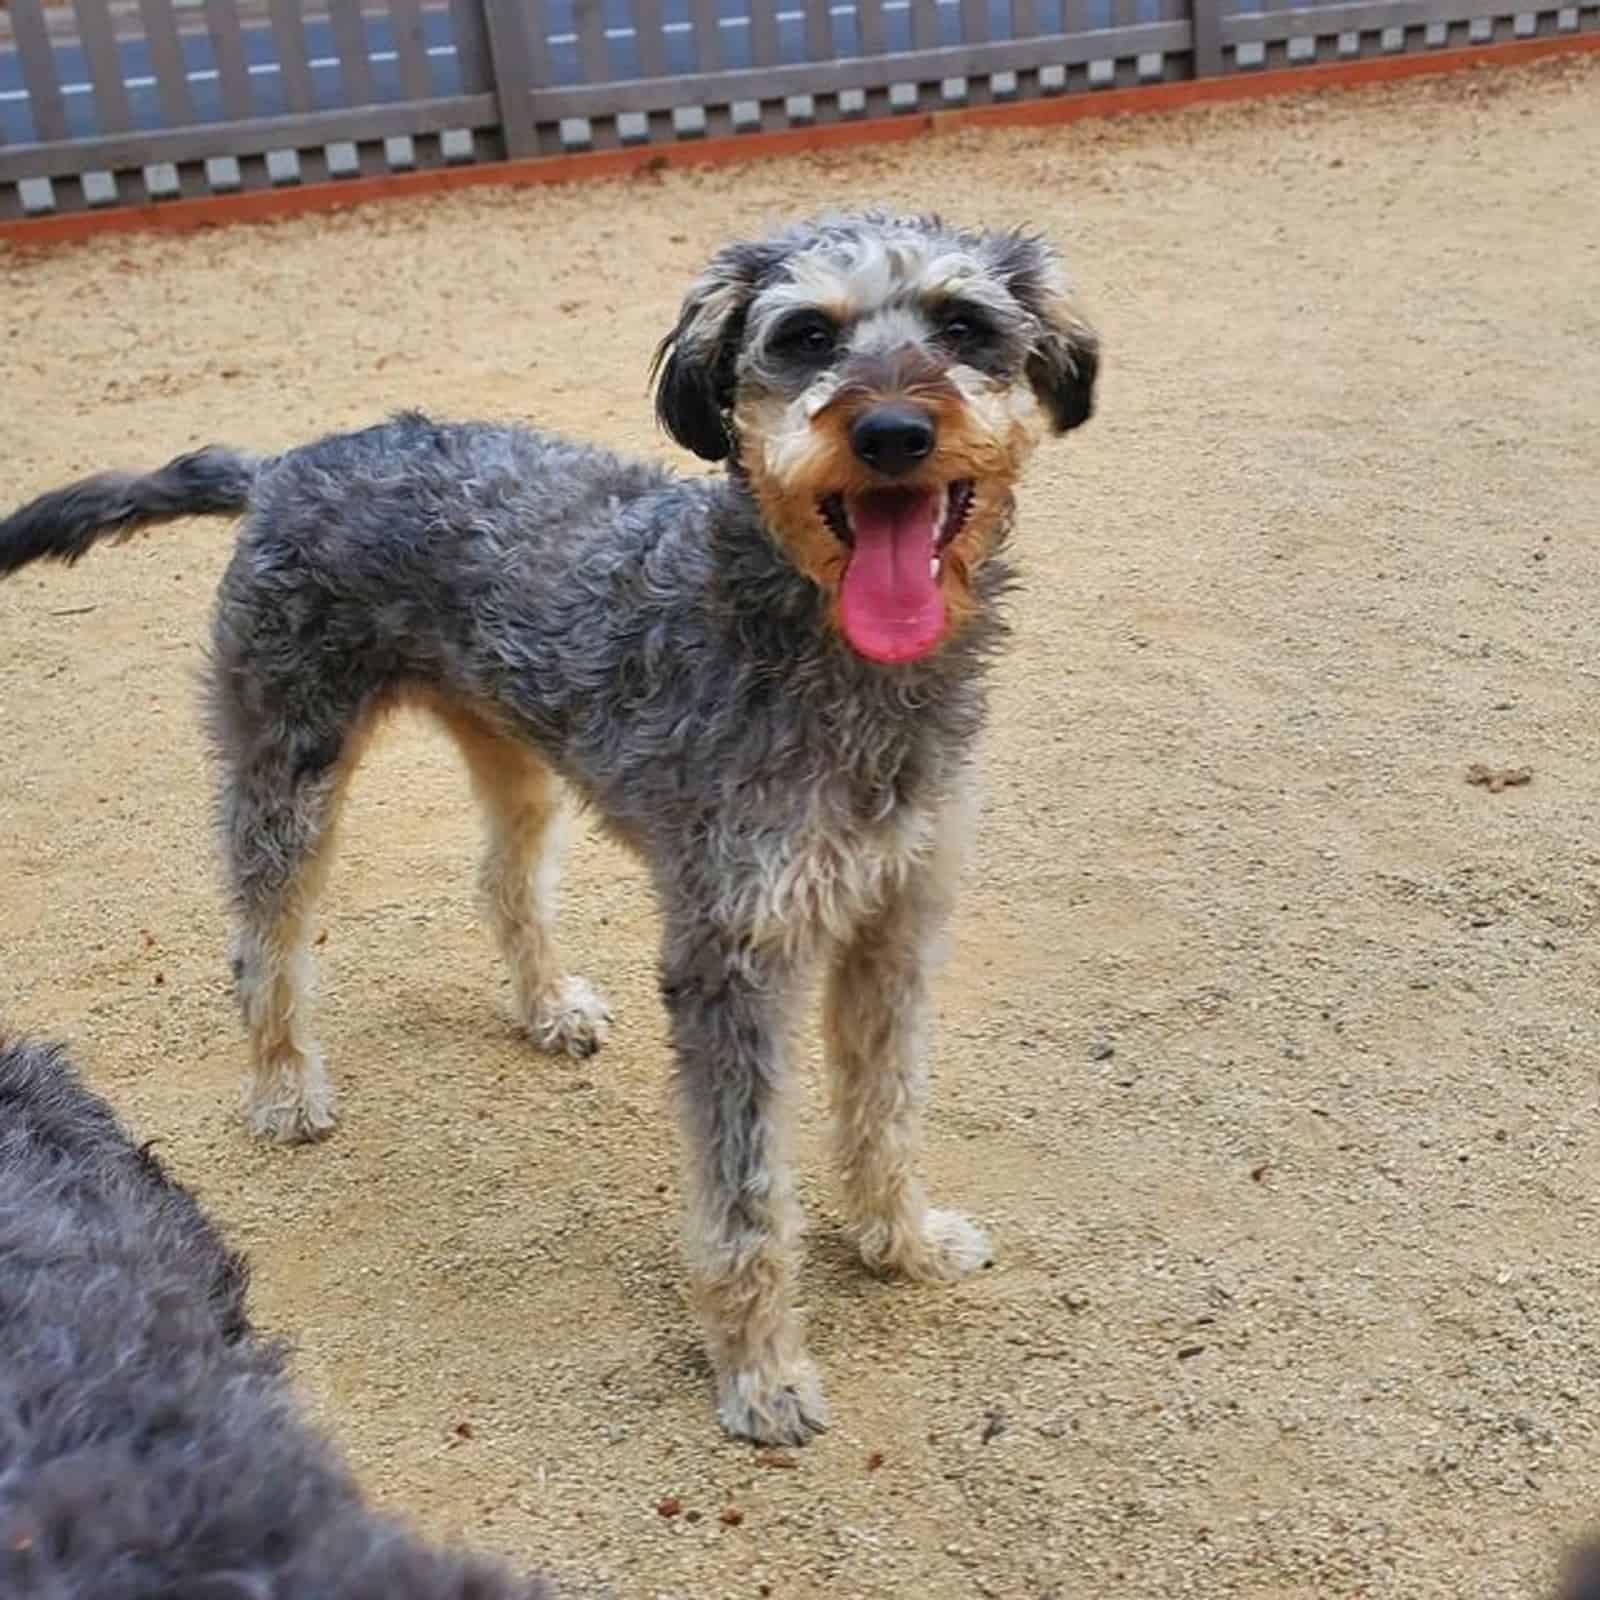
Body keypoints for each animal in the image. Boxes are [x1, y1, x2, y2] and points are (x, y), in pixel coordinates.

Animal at [0, 206, 1100, 1446]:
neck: (826, 656)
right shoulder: (735, 955)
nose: (895, 431)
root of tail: (284, 466)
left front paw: (899, 1242)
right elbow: (746, 1201)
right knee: (262, 941)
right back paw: (283, 1088)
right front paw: (760, 1372)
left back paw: (544, 1008)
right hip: (287, 764)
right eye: (806, 336)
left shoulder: (895, 922)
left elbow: (885, 1111)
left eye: (964, 325)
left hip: (516, 758)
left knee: (501, 883)